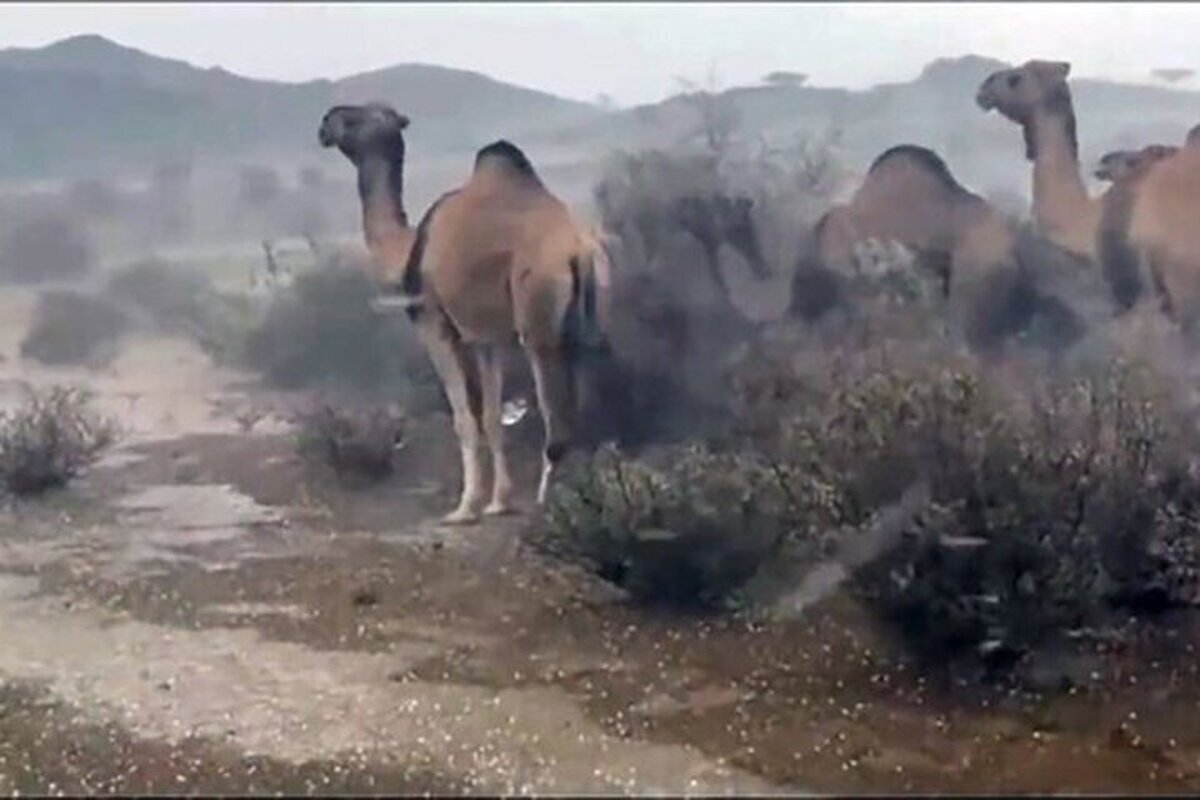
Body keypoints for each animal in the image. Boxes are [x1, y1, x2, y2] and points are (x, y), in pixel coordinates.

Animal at [345, 131, 609, 525]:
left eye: (352, 122)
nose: (324, 128)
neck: (410, 248)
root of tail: (578, 252)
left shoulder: (434, 323)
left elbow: (464, 417)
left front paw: (465, 507)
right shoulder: (487, 338)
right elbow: (492, 415)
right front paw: (499, 501)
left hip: (539, 323)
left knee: (554, 416)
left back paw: (548, 502)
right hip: (586, 327)